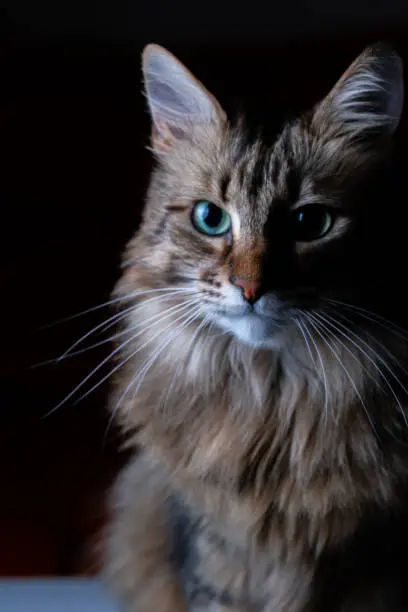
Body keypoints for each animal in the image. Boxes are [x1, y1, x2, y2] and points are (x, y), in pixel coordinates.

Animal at [103, 43, 408, 612]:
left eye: (310, 223)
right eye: (210, 218)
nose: (250, 288)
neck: (273, 401)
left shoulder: (374, 567)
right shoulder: (214, 553)